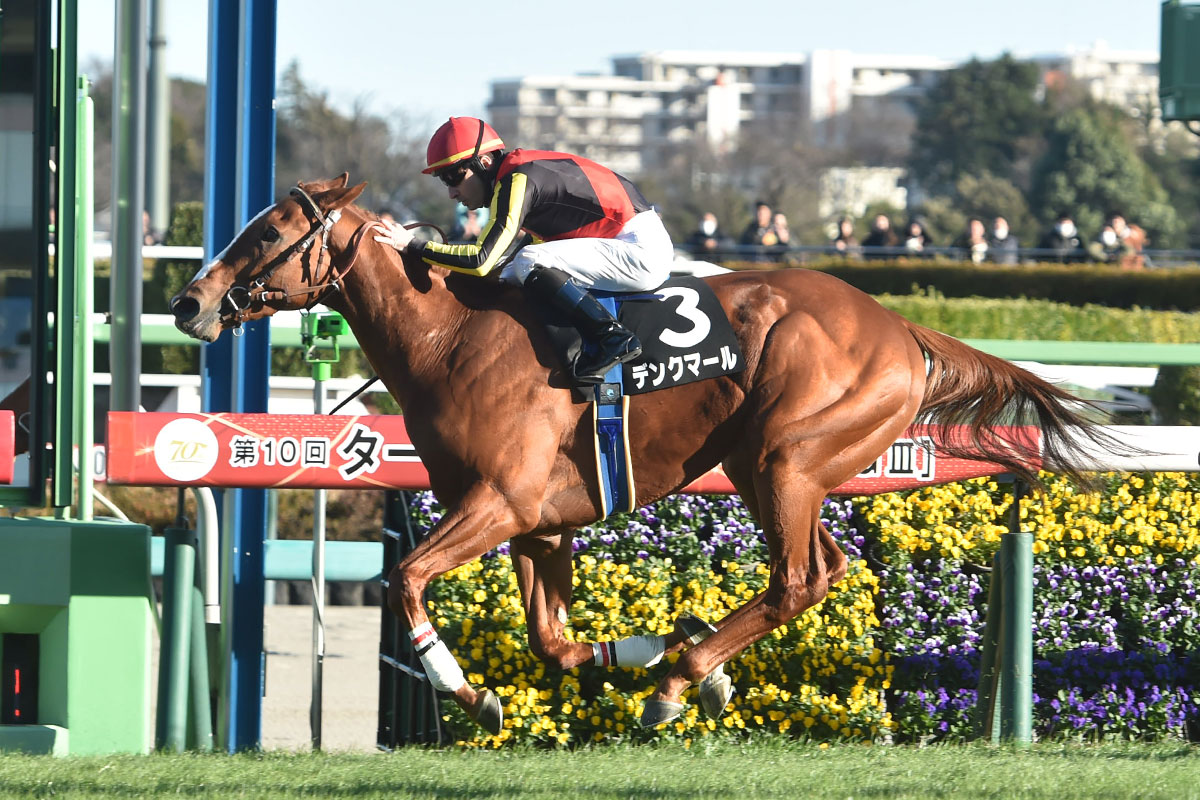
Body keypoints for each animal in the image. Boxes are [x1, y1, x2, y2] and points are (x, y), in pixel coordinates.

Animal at [169, 173, 1104, 734]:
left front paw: (472, 692)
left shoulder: (500, 501)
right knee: (822, 569)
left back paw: (681, 680)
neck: (451, 339)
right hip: (780, 467)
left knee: (799, 577)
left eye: (267, 234)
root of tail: (900, 328)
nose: (188, 302)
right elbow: (551, 642)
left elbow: (404, 580)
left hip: (783, 455)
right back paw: (690, 662)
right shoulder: (539, 522)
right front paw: (640, 646)